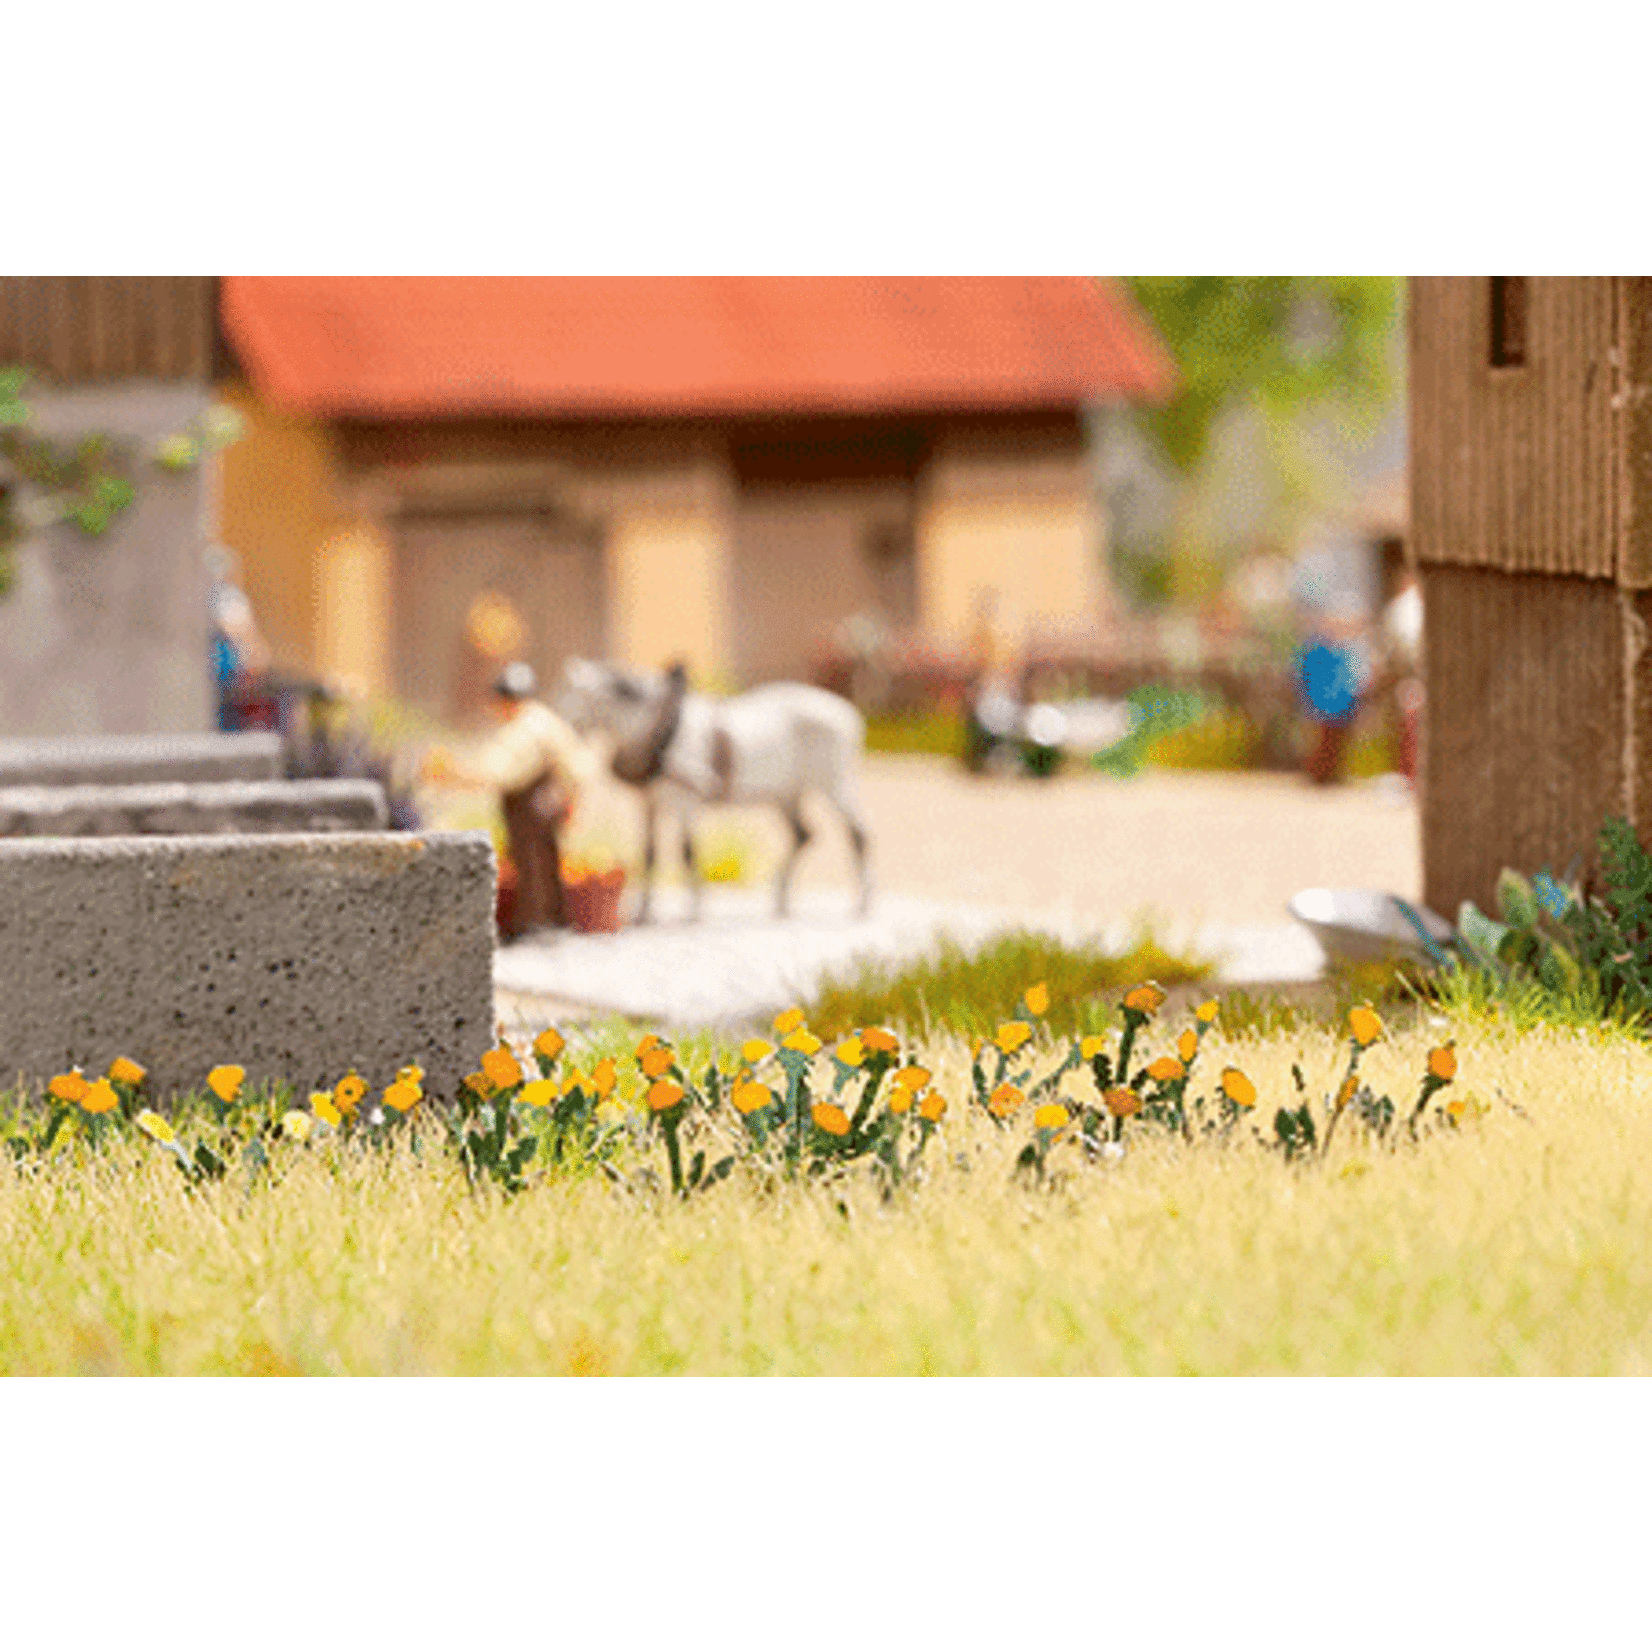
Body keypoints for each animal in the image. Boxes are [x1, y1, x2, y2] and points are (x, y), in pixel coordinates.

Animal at [558, 657, 878, 925]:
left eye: (567, 695)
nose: (559, 725)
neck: (660, 730)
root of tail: (849, 714)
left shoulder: (687, 804)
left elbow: (688, 852)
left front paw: (694, 913)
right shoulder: (648, 804)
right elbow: (649, 853)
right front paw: (642, 914)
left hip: (835, 787)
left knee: (858, 835)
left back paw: (862, 902)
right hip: (787, 795)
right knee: (802, 835)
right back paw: (780, 902)